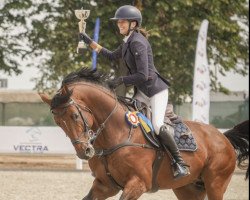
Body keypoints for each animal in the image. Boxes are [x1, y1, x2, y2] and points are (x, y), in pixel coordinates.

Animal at [39, 68, 248, 199]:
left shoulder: (137, 184)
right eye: (58, 123)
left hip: (215, 184)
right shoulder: (104, 185)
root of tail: (223, 138)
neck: (116, 135)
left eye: (75, 115)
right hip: (188, 188)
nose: (84, 152)